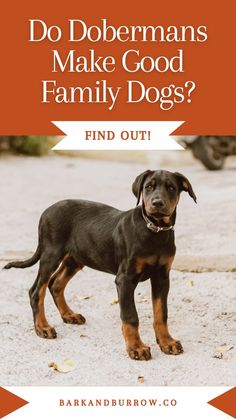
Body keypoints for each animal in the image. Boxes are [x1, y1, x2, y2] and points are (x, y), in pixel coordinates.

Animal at [3, 171, 196, 360]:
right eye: (148, 186)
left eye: (171, 188)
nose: (157, 203)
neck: (154, 230)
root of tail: (46, 212)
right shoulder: (125, 279)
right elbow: (130, 316)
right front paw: (136, 347)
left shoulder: (162, 277)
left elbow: (161, 313)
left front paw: (167, 342)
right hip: (51, 254)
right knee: (37, 290)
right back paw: (43, 327)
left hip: (76, 258)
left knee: (55, 283)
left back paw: (69, 315)